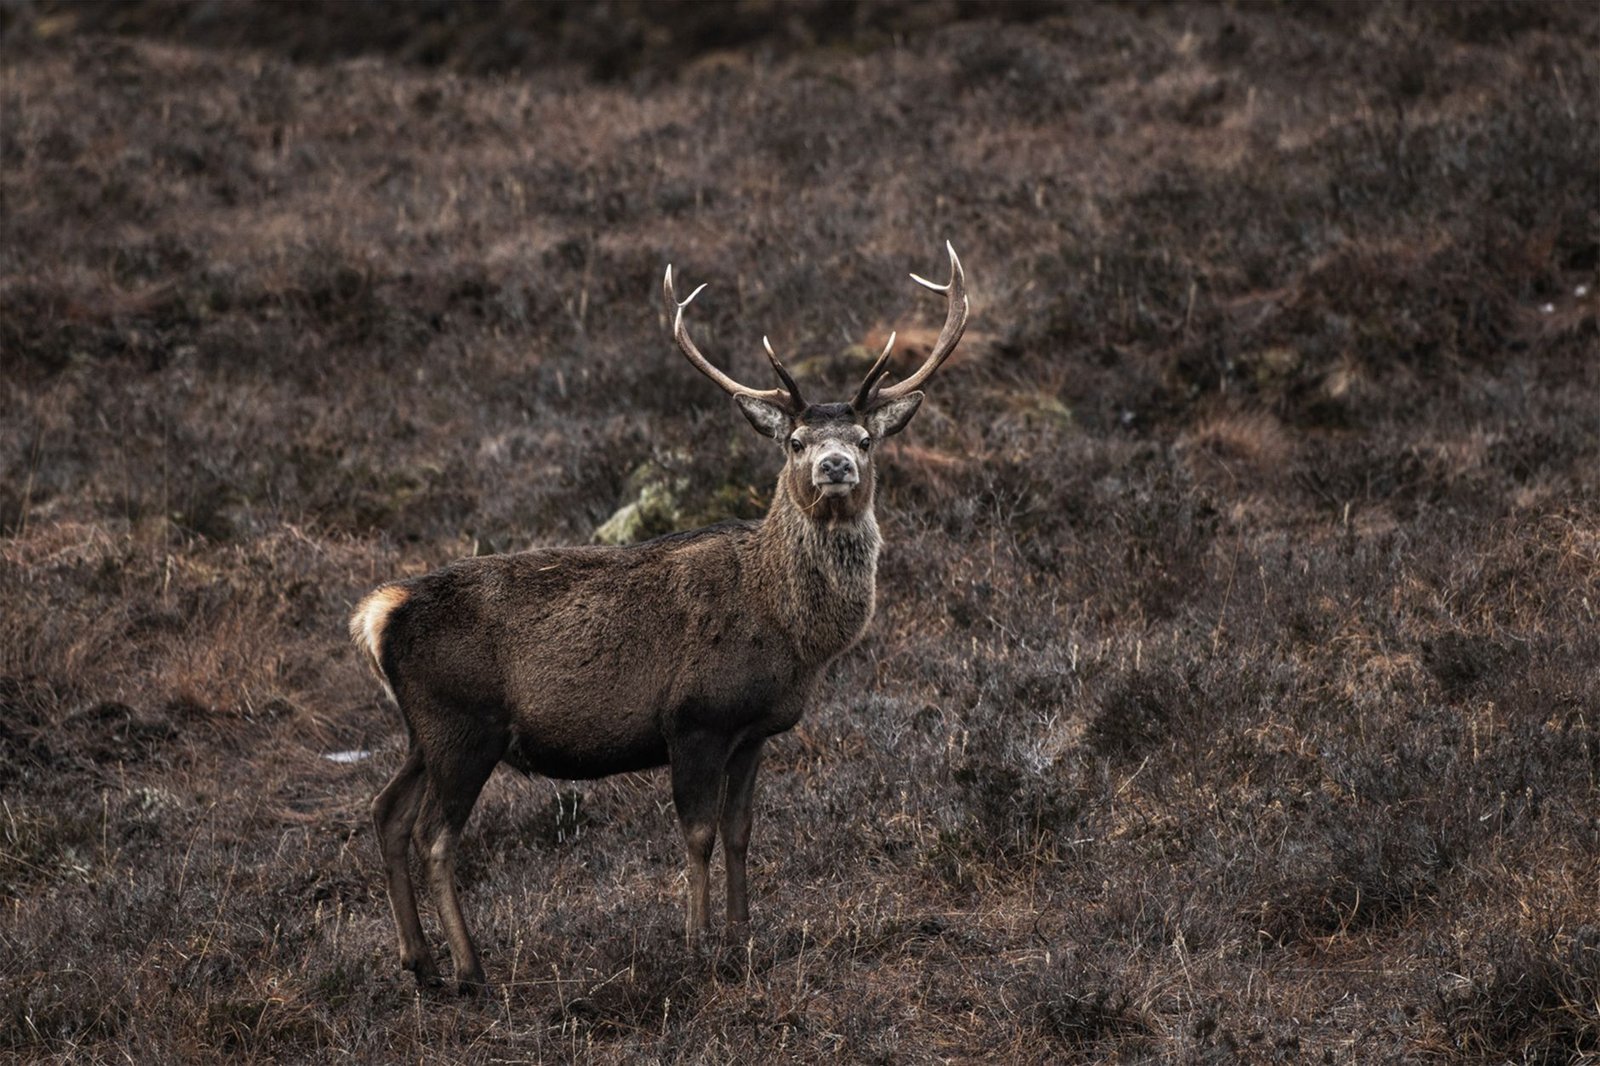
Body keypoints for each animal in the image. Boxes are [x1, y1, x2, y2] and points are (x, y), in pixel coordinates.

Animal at [349, 243, 969, 992]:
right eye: (794, 441)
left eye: (865, 438)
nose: (835, 466)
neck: (790, 633)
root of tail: (381, 614)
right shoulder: (694, 717)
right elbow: (697, 834)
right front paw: (698, 947)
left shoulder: (753, 730)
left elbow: (740, 830)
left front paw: (744, 936)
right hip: (464, 723)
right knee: (434, 836)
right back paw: (470, 970)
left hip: (424, 731)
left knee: (386, 813)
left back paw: (420, 962)